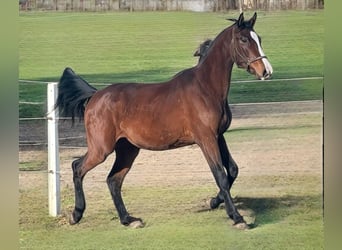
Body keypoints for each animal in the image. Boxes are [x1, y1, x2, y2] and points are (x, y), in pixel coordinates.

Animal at [55, 12, 272, 229]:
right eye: (243, 39)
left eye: (259, 39)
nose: (266, 71)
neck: (206, 88)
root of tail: (95, 95)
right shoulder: (206, 139)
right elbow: (221, 175)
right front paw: (237, 217)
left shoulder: (219, 136)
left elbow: (232, 170)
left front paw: (213, 201)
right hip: (101, 149)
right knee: (78, 167)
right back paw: (76, 214)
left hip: (127, 149)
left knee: (113, 180)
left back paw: (128, 220)